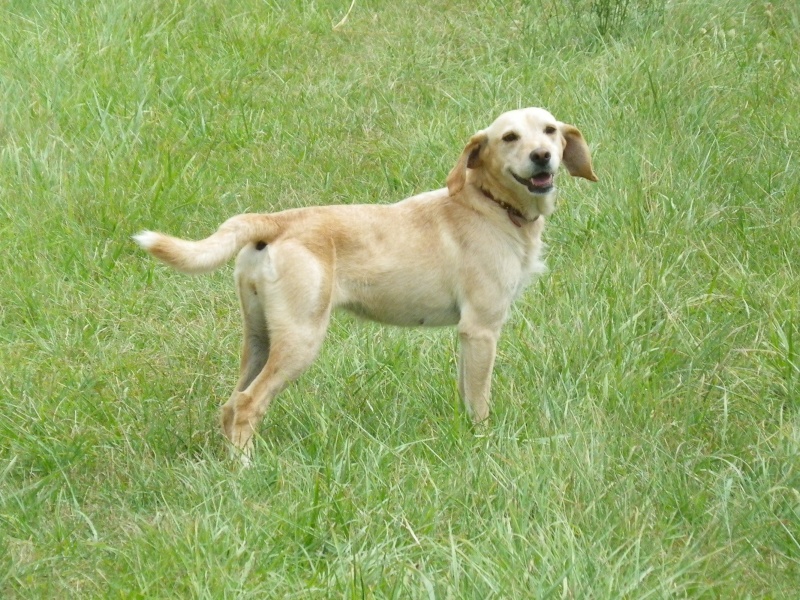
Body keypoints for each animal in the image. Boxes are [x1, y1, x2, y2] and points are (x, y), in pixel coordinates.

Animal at [134, 108, 596, 458]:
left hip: (260, 338)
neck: (490, 204)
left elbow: (467, 393)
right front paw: (483, 445)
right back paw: (247, 468)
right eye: (509, 137)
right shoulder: (481, 329)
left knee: (230, 405)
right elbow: (480, 401)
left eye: (550, 130)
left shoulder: (468, 336)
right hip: (301, 340)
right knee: (248, 405)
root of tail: (277, 221)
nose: (542, 156)